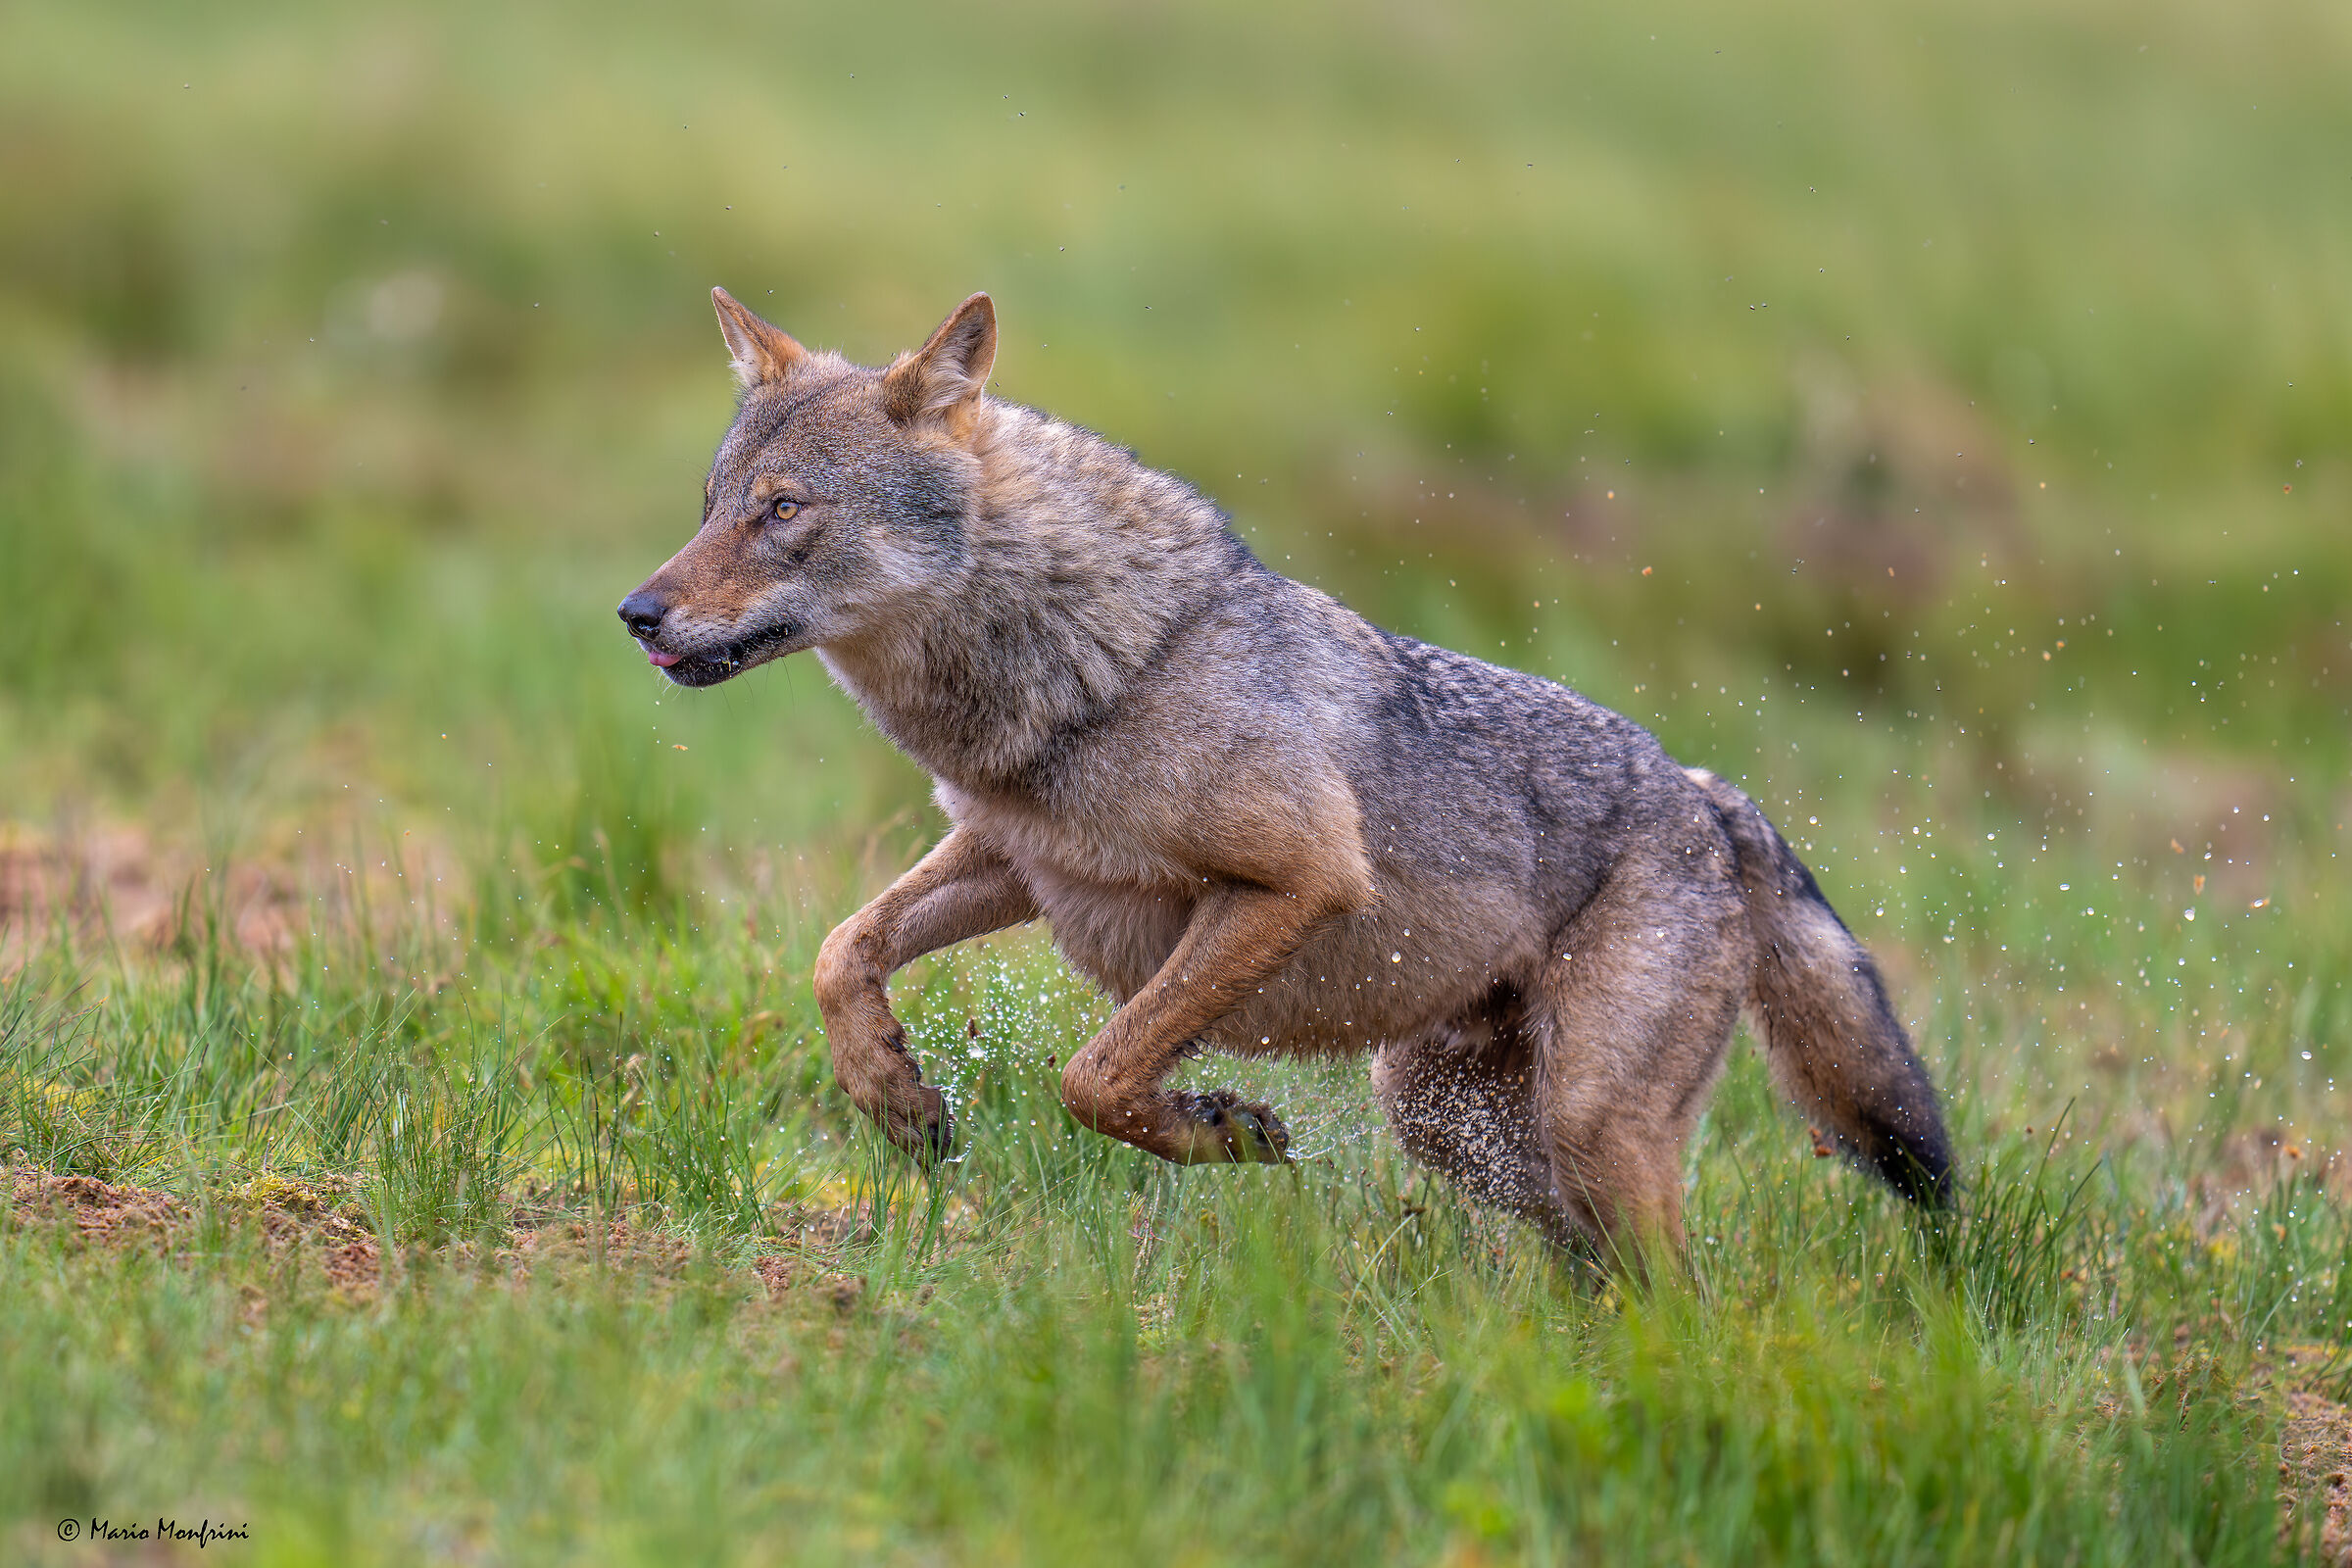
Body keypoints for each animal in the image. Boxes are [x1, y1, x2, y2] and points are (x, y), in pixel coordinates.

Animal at [618, 288, 1953, 1258]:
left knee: (1687, 1292)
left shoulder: (1294, 884)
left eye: (783, 510)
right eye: (708, 503)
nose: (636, 614)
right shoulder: (1016, 859)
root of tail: (1710, 795)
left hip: (1585, 1128)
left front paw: (1223, 1131)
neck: (1100, 664)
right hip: (1453, 1125)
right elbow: (841, 951)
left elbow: (1096, 1074)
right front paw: (897, 1099)